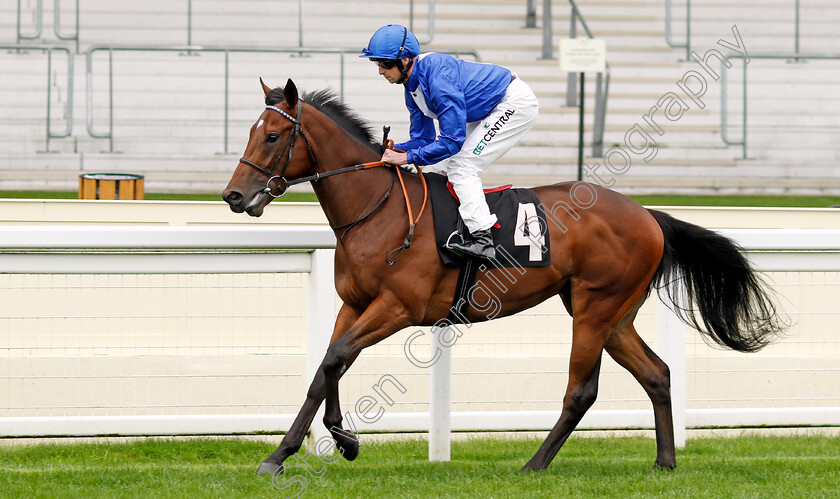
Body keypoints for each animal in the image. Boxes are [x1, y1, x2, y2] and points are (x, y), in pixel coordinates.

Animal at [221, 79, 780, 476]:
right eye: (251, 133)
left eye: (273, 135)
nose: (233, 196)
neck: (377, 210)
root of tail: (648, 216)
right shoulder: (354, 304)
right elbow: (328, 364)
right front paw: (342, 439)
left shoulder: (397, 308)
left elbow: (335, 359)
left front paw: (282, 454)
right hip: (613, 314)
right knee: (657, 373)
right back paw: (664, 462)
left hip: (596, 308)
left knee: (582, 389)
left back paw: (534, 464)